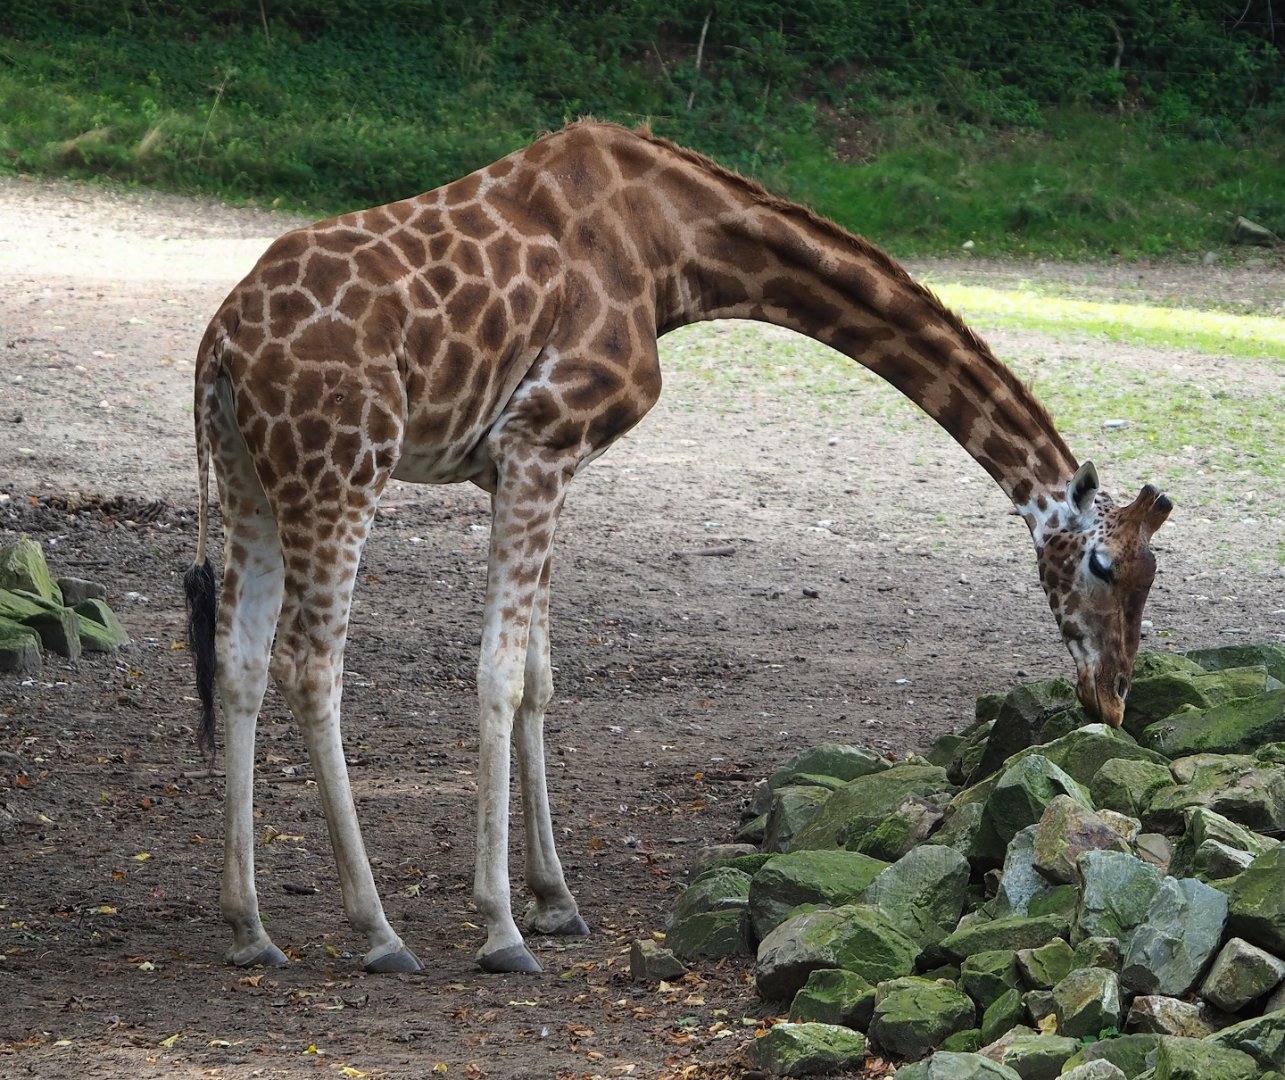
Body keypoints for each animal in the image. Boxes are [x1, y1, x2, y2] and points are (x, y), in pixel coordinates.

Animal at [184, 120, 1172, 976]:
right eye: (1102, 565)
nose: (1111, 700)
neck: (676, 251)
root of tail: (220, 347)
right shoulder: (538, 440)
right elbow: (498, 673)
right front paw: (502, 927)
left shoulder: (527, 466)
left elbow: (538, 674)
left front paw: (555, 899)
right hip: (342, 468)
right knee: (311, 663)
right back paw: (379, 931)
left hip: (249, 478)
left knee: (237, 657)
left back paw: (248, 928)